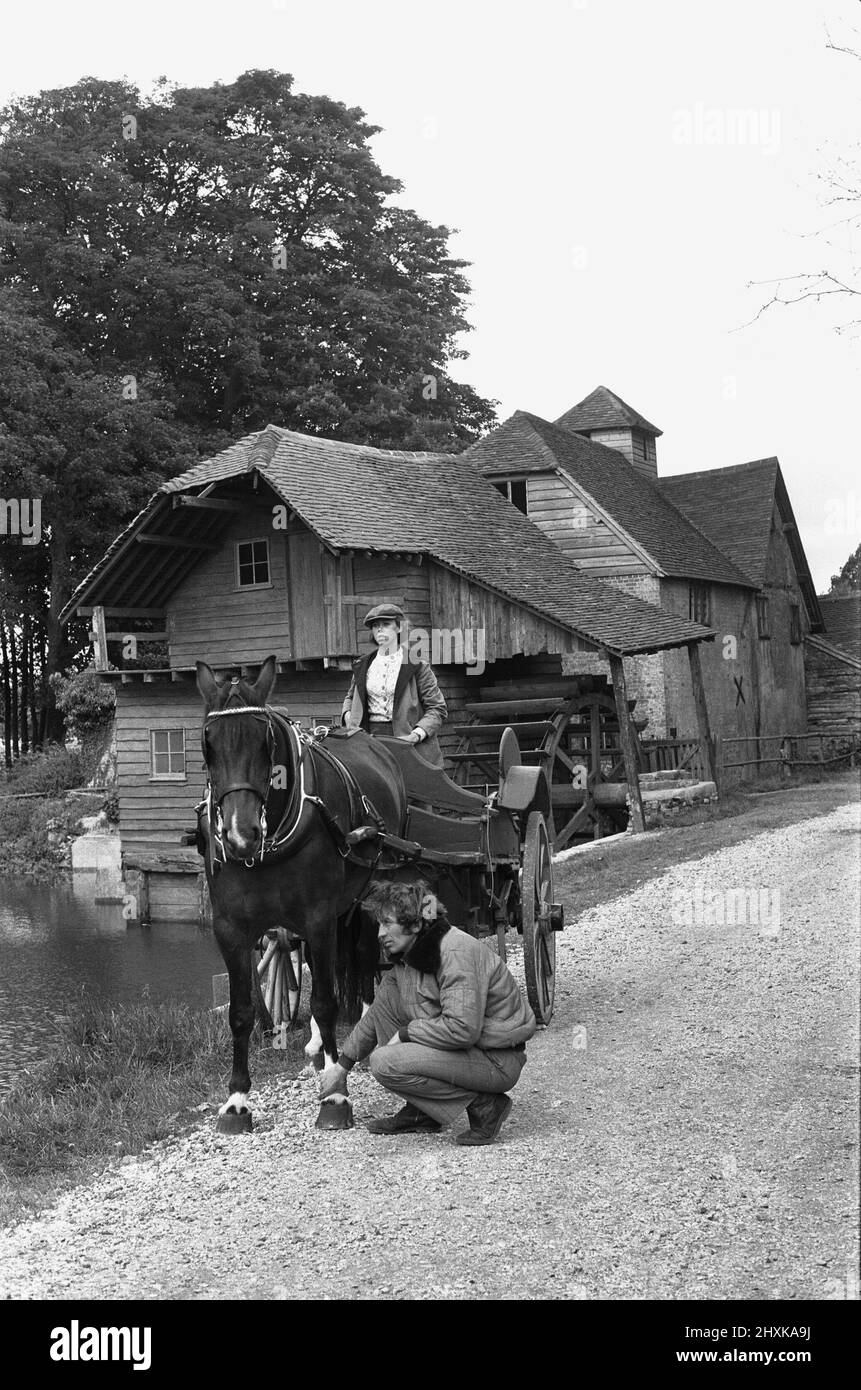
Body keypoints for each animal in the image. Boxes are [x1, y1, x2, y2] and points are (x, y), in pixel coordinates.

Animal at [197, 656, 408, 1134]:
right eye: (207, 745)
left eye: (265, 742)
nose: (239, 835)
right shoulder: (230, 928)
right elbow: (241, 1012)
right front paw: (236, 1100)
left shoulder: (319, 916)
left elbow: (326, 1000)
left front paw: (334, 1095)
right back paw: (317, 1044)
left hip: (368, 891)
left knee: (363, 957)